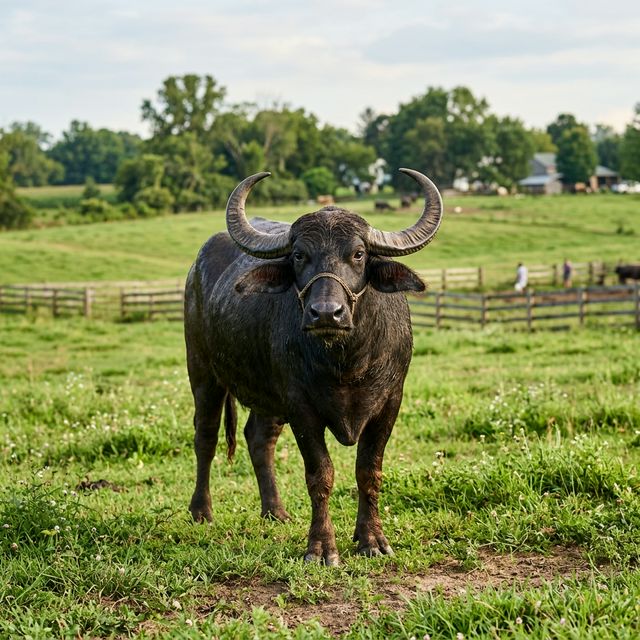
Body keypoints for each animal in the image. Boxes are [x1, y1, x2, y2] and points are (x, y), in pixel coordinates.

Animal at [185, 168, 443, 565]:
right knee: (206, 436)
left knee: (259, 438)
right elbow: (320, 475)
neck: (346, 362)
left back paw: (275, 511)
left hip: (268, 396)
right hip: (203, 373)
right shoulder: (301, 408)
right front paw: (321, 548)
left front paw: (372, 540)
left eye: (358, 254)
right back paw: (201, 511)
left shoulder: (389, 404)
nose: (326, 313)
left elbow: (369, 471)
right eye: (299, 255)